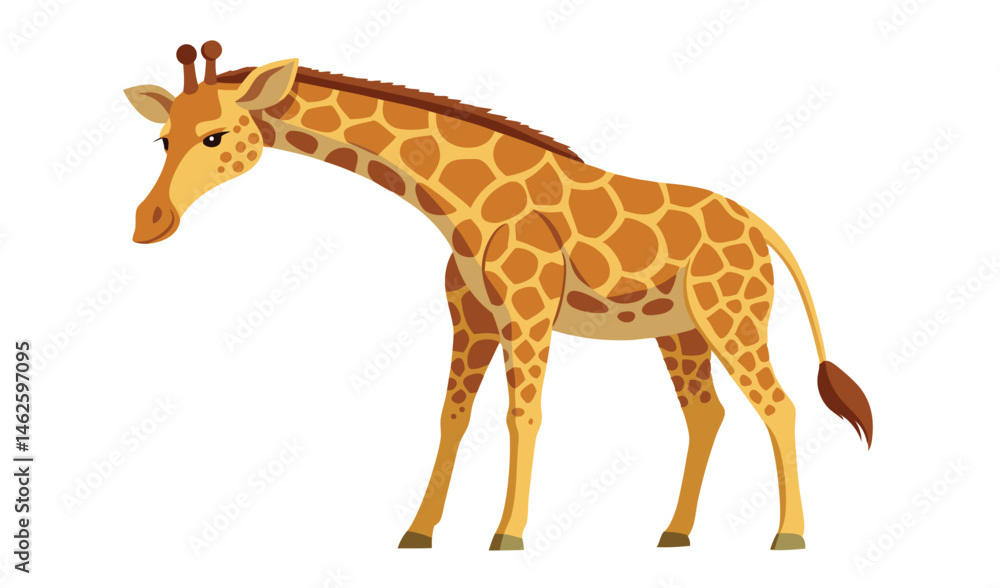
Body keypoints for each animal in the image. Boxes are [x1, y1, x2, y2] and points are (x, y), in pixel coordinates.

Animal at [125, 42, 873, 551]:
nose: (148, 222)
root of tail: (761, 229)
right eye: (161, 139)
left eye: (215, 136)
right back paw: (675, 532)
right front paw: (419, 532)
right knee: (707, 413)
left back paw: (788, 536)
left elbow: (523, 414)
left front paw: (507, 535)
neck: (456, 201)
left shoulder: (528, 306)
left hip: (731, 313)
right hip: (679, 328)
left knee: (777, 404)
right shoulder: (473, 315)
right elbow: (452, 417)